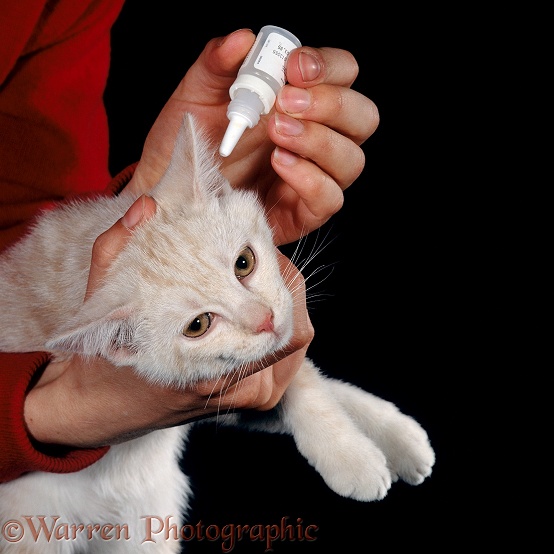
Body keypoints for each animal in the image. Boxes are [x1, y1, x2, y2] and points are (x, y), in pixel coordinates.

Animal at [0, 114, 432, 548]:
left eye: (244, 263)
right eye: (198, 325)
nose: (264, 320)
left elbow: (311, 386)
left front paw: (390, 435)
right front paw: (355, 460)